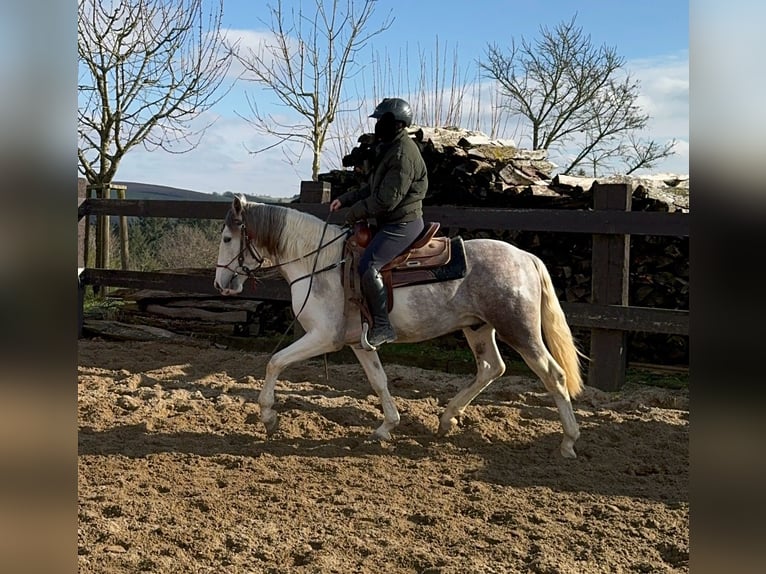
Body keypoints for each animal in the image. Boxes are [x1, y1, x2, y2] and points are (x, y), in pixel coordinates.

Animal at [213, 197, 584, 460]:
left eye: (228, 237)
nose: (220, 284)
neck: (320, 263)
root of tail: (526, 258)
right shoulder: (359, 343)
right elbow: (379, 381)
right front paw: (386, 426)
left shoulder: (324, 338)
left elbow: (274, 362)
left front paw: (267, 416)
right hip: (478, 328)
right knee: (492, 368)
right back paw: (448, 418)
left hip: (519, 331)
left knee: (553, 375)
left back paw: (569, 441)